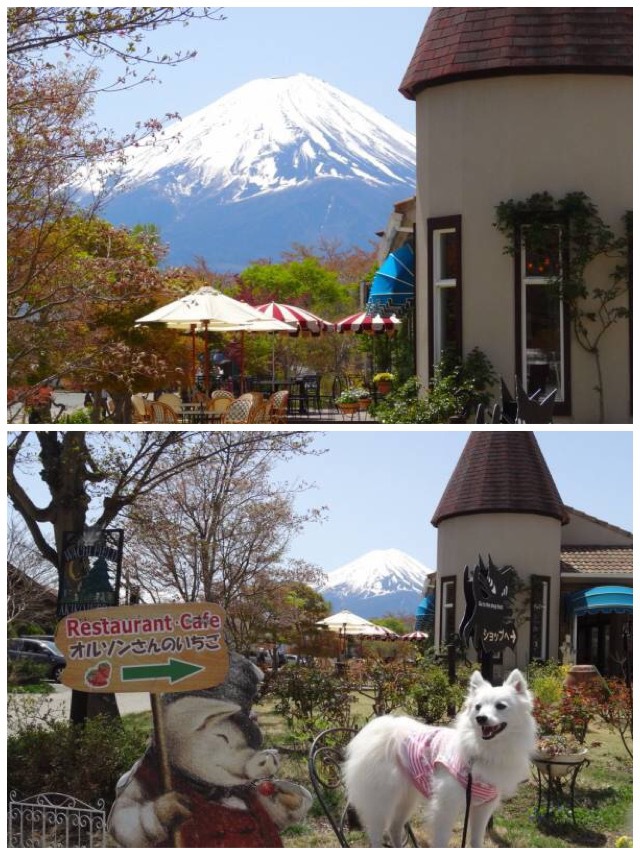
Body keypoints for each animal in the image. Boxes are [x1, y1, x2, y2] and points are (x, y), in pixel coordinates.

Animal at [344, 676, 536, 848]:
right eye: (478, 707)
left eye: (501, 706)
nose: (480, 718)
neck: (482, 750)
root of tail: (378, 728)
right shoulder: (445, 808)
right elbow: (442, 841)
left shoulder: (483, 808)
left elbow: (476, 841)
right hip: (382, 800)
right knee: (376, 834)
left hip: (406, 798)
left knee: (394, 828)